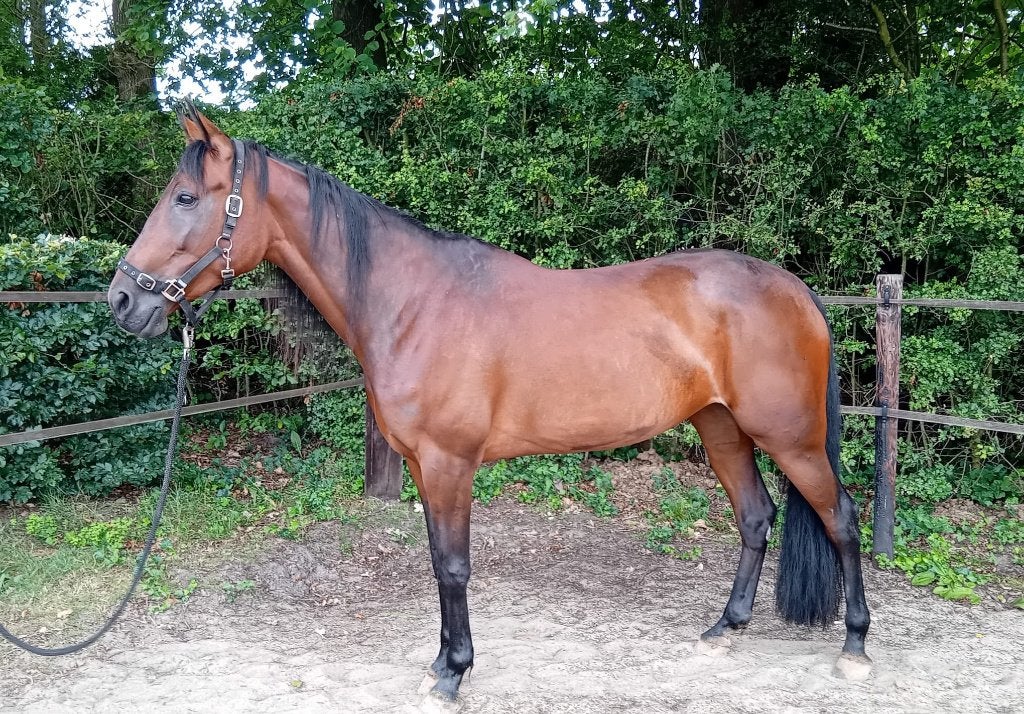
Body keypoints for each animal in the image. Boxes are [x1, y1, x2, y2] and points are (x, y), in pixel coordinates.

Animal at [108, 104, 871, 702]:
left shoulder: (450, 464)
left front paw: (453, 673)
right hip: (722, 429)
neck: (413, 303)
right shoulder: (424, 468)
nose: (121, 299)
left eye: (185, 197)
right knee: (757, 517)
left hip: (790, 438)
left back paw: (855, 646)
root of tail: (795, 290)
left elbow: (454, 566)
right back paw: (724, 629)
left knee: (841, 519)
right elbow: (436, 562)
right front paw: (442, 661)